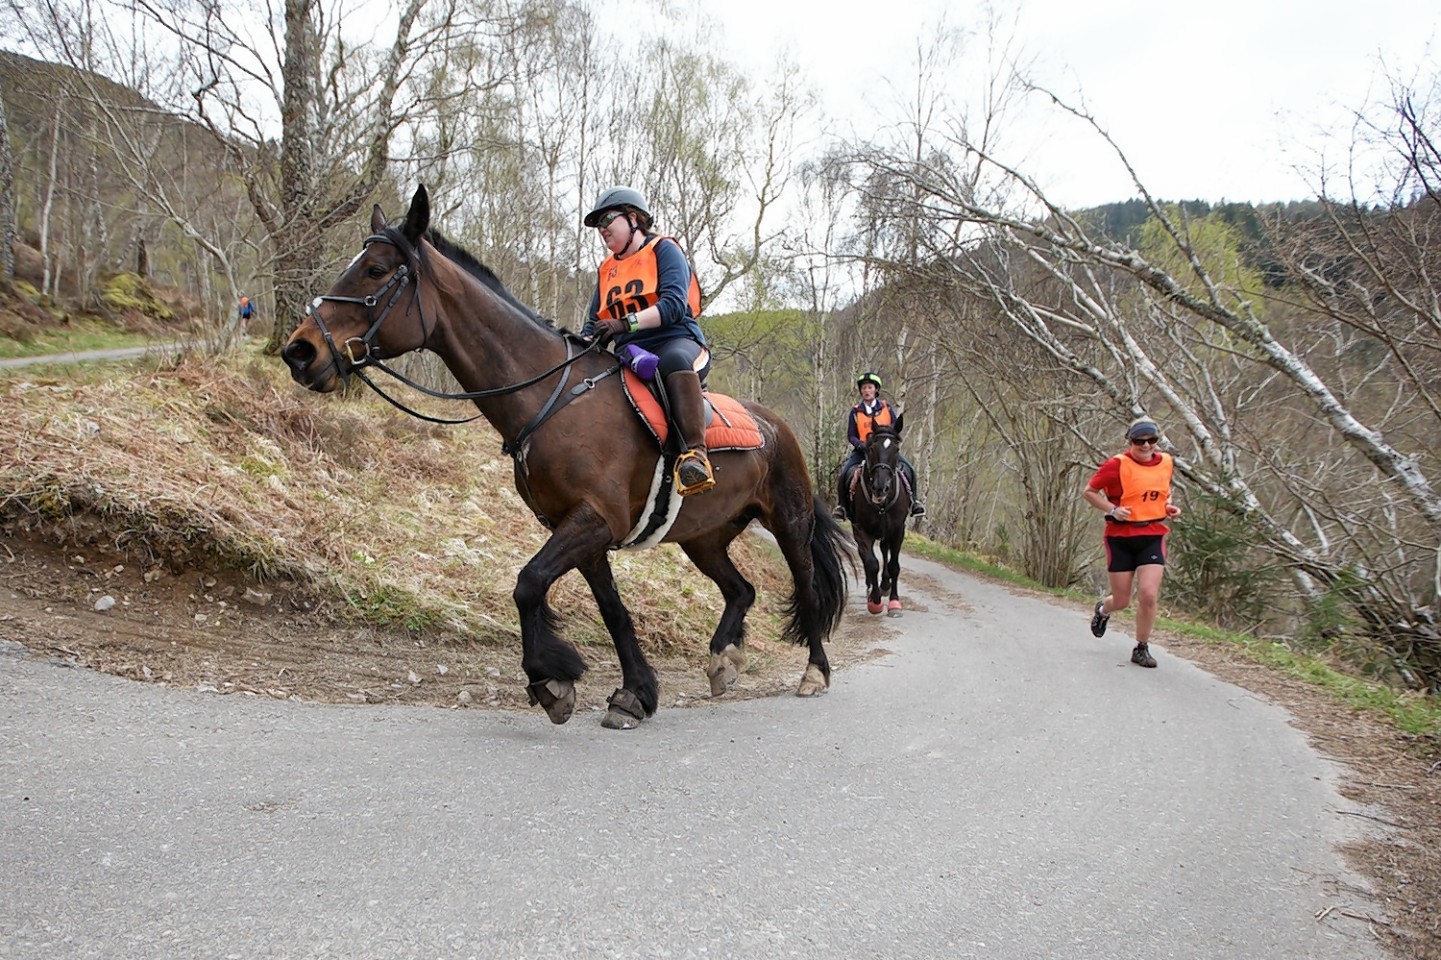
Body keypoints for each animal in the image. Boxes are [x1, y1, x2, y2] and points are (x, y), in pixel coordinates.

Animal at [276, 184, 847, 726]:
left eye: (374, 270)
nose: (299, 351)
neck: (550, 398)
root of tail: (776, 425)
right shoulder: (580, 530)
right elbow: (612, 611)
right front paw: (633, 694)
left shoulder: (594, 520)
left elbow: (528, 584)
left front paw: (552, 681)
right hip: (703, 537)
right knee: (741, 590)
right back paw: (723, 658)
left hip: (789, 521)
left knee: (807, 587)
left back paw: (814, 672)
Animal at [847, 418, 904, 614]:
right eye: (871, 448)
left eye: (896, 449)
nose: (880, 488)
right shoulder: (862, 530)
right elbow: (872, 563)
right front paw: (875, 601)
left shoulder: (898, 531)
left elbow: (894, 566)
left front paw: (894, 602)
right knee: (866, 556)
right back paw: (872, 588)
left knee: (885, 552)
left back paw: (885, 585)